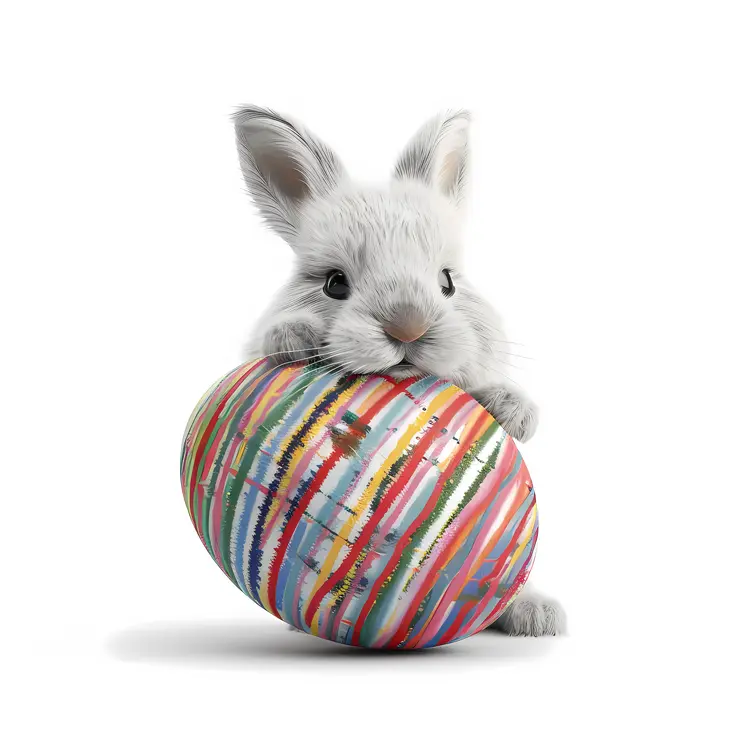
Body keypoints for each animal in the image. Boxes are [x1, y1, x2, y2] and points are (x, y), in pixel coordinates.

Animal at [233, 105, 565, 636]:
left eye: (447, 282)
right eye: (334, 284)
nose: (408, 328)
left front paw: (515, 410)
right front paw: (295, 335)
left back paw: (535, 615)